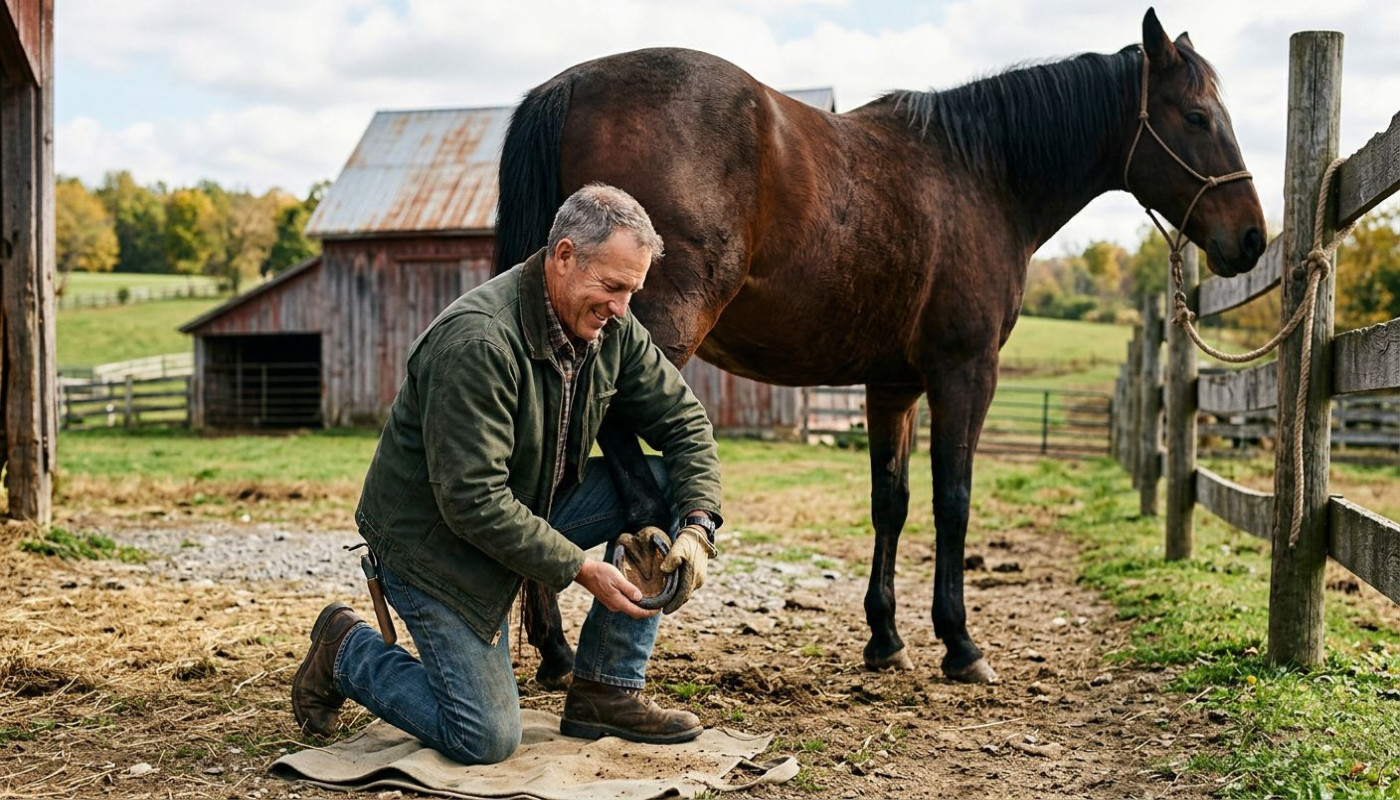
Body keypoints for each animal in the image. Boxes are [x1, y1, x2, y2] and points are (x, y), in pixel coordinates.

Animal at [493, 8, 1265, 687]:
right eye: (1196, 118)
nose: (1253, 238)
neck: (984, 179)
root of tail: (573, 84)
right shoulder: (965, 373)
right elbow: (953, 500)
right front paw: (960, 643)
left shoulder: (893, 387)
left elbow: (889, 502)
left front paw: (886, 637)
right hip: (653, 326)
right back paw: (630, 566)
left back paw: (557, 648)